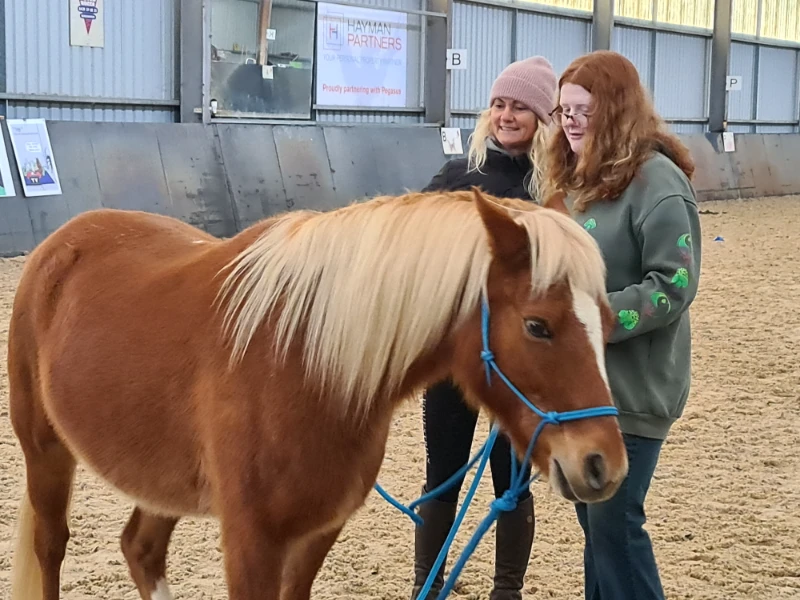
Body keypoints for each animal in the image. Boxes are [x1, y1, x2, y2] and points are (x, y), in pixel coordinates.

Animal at [7, 186, 628, 600]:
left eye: (606, 322)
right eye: (537, 326)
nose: (605, 465)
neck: (303, 362)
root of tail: (63, 242)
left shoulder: (316, 535)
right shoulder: (251, 541)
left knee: (141, 549)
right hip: (45, 453)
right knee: (52, 545)